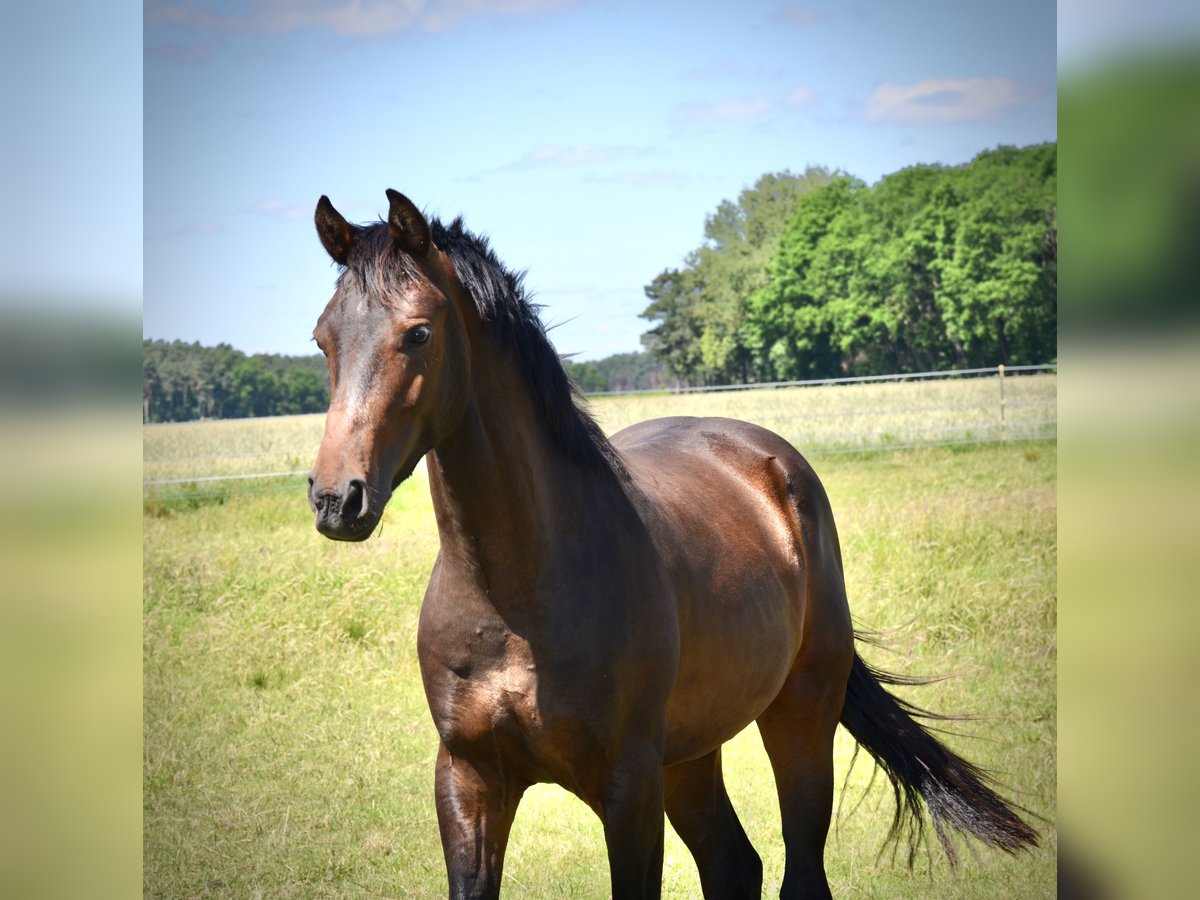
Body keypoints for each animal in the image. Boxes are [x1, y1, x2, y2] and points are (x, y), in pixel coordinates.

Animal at [304, 188, 1036, 897]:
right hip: (690, 754)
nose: (337, 498)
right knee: (735, 866)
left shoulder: (628, 787)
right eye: (322, 340)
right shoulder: (469, 778)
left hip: (798, 718)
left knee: (800, 871)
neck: (515, 597)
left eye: (419, 332)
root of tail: (772, 461)